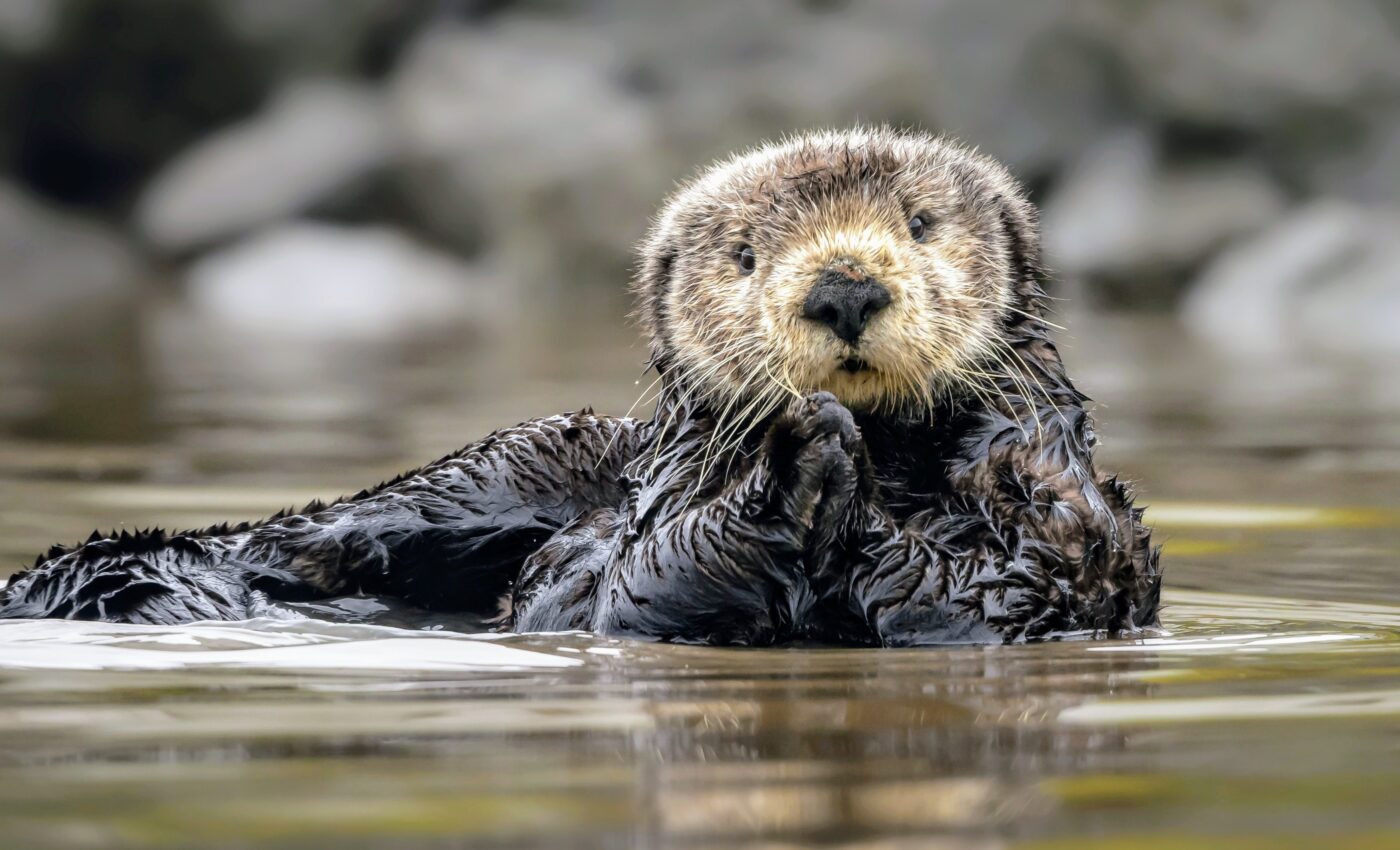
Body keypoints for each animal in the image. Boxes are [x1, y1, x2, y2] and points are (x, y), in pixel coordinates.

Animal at [0, 128, 1160, 645]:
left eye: (919, 224)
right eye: (743, 253)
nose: (841, 288)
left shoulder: (1059, 518)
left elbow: (998, 588)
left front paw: (830, 469)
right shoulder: (635, 545)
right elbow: (636, 583)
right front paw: (796, 455)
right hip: (511, 461)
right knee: (316, 535)